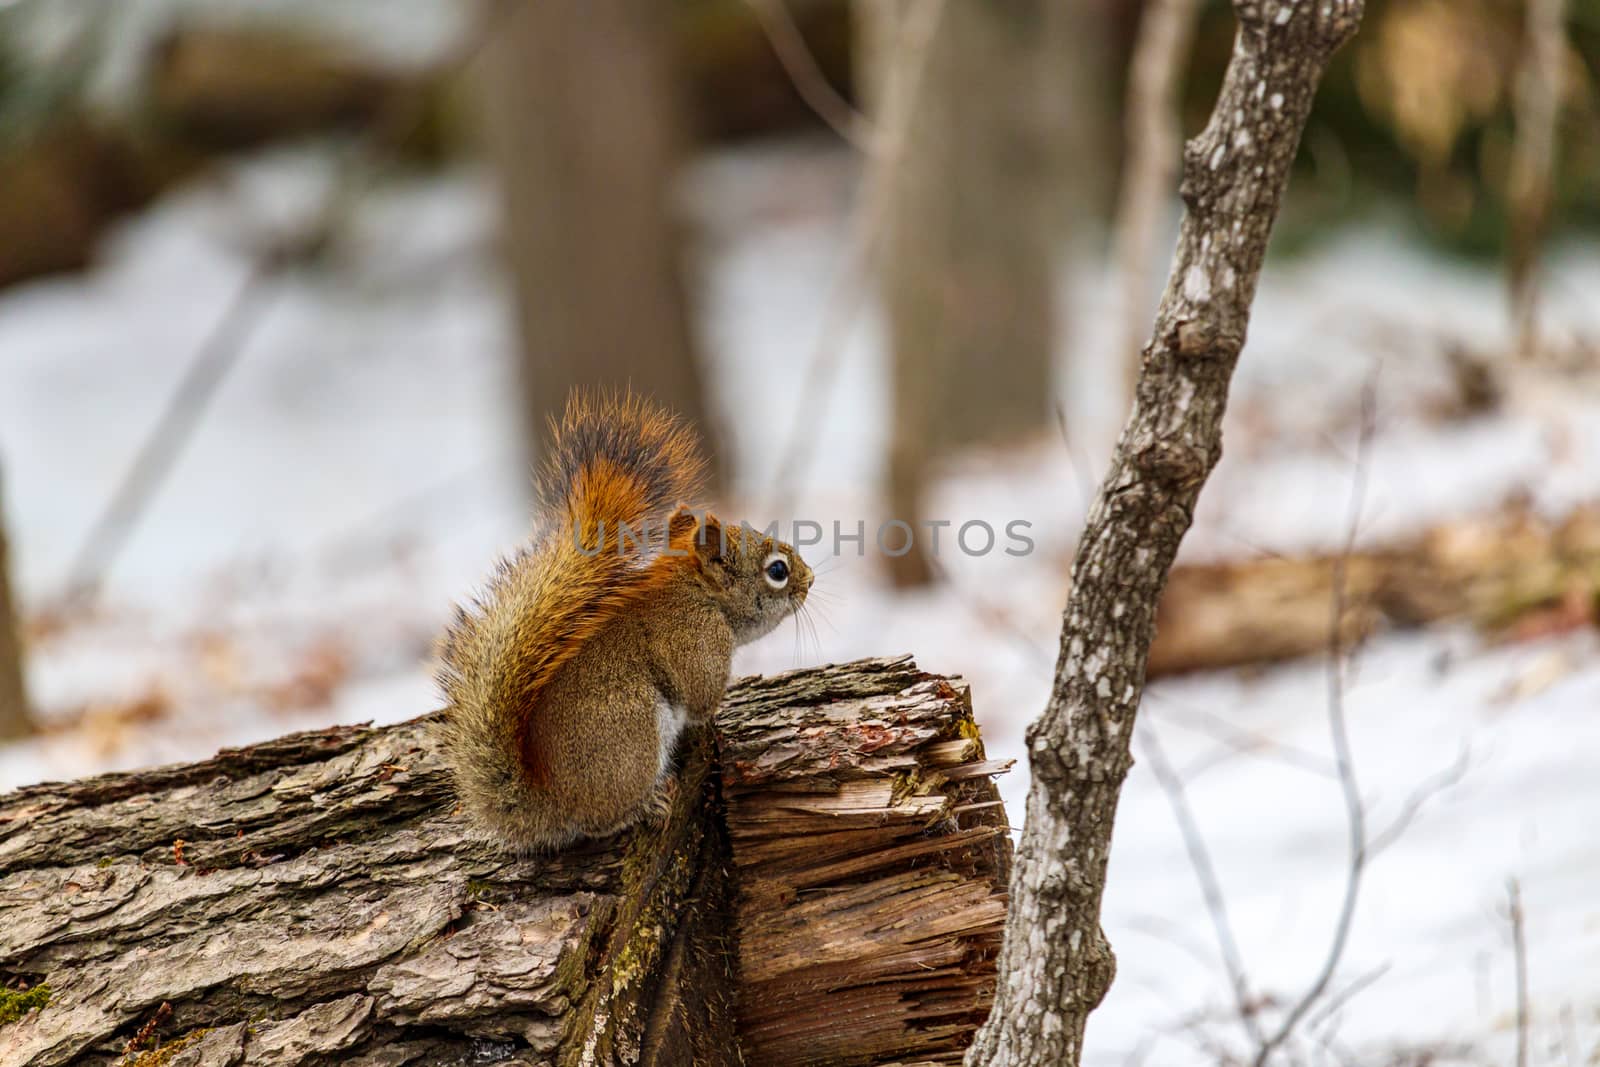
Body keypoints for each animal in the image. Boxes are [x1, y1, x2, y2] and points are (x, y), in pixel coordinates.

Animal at [438, 391, 812, 851]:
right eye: (777, 571)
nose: (810, 581)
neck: (700, 594)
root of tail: (552, 801)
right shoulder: (697, 640)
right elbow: (702, 697)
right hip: (633, 732)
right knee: (601, 821)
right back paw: (644, 806)